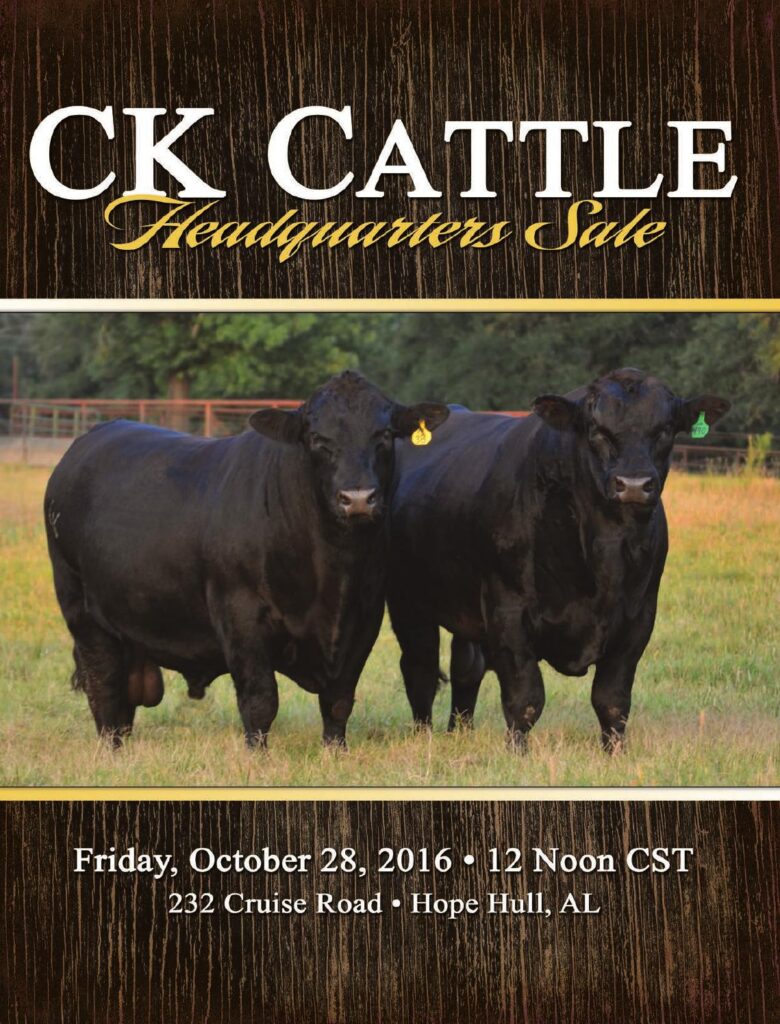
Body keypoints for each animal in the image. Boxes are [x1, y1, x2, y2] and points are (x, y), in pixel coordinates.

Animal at [44, 371, 449, 748]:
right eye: (317, 438)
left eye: (384, 434)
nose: (359, 498)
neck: (332, 571)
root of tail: (96, 435)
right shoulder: (239, 614)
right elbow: (260, 700)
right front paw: (259, 756)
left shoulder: (364, 618)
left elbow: (338, 700)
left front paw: (336, 751)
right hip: (81, 609)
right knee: (104, 684)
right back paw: (110, 748)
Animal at [387, 369, 730, 752]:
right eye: (597, 430)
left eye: (666, 429)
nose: (633, 484)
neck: (605, 548)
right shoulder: (507, 610)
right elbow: (525, 699)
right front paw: (516, 754)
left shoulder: (639, 617)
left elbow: (612, 700)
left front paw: (615, 753)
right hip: (408, 602)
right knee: (420, 669)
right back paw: (424, 736)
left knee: (466, 668)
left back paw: (459, 731)